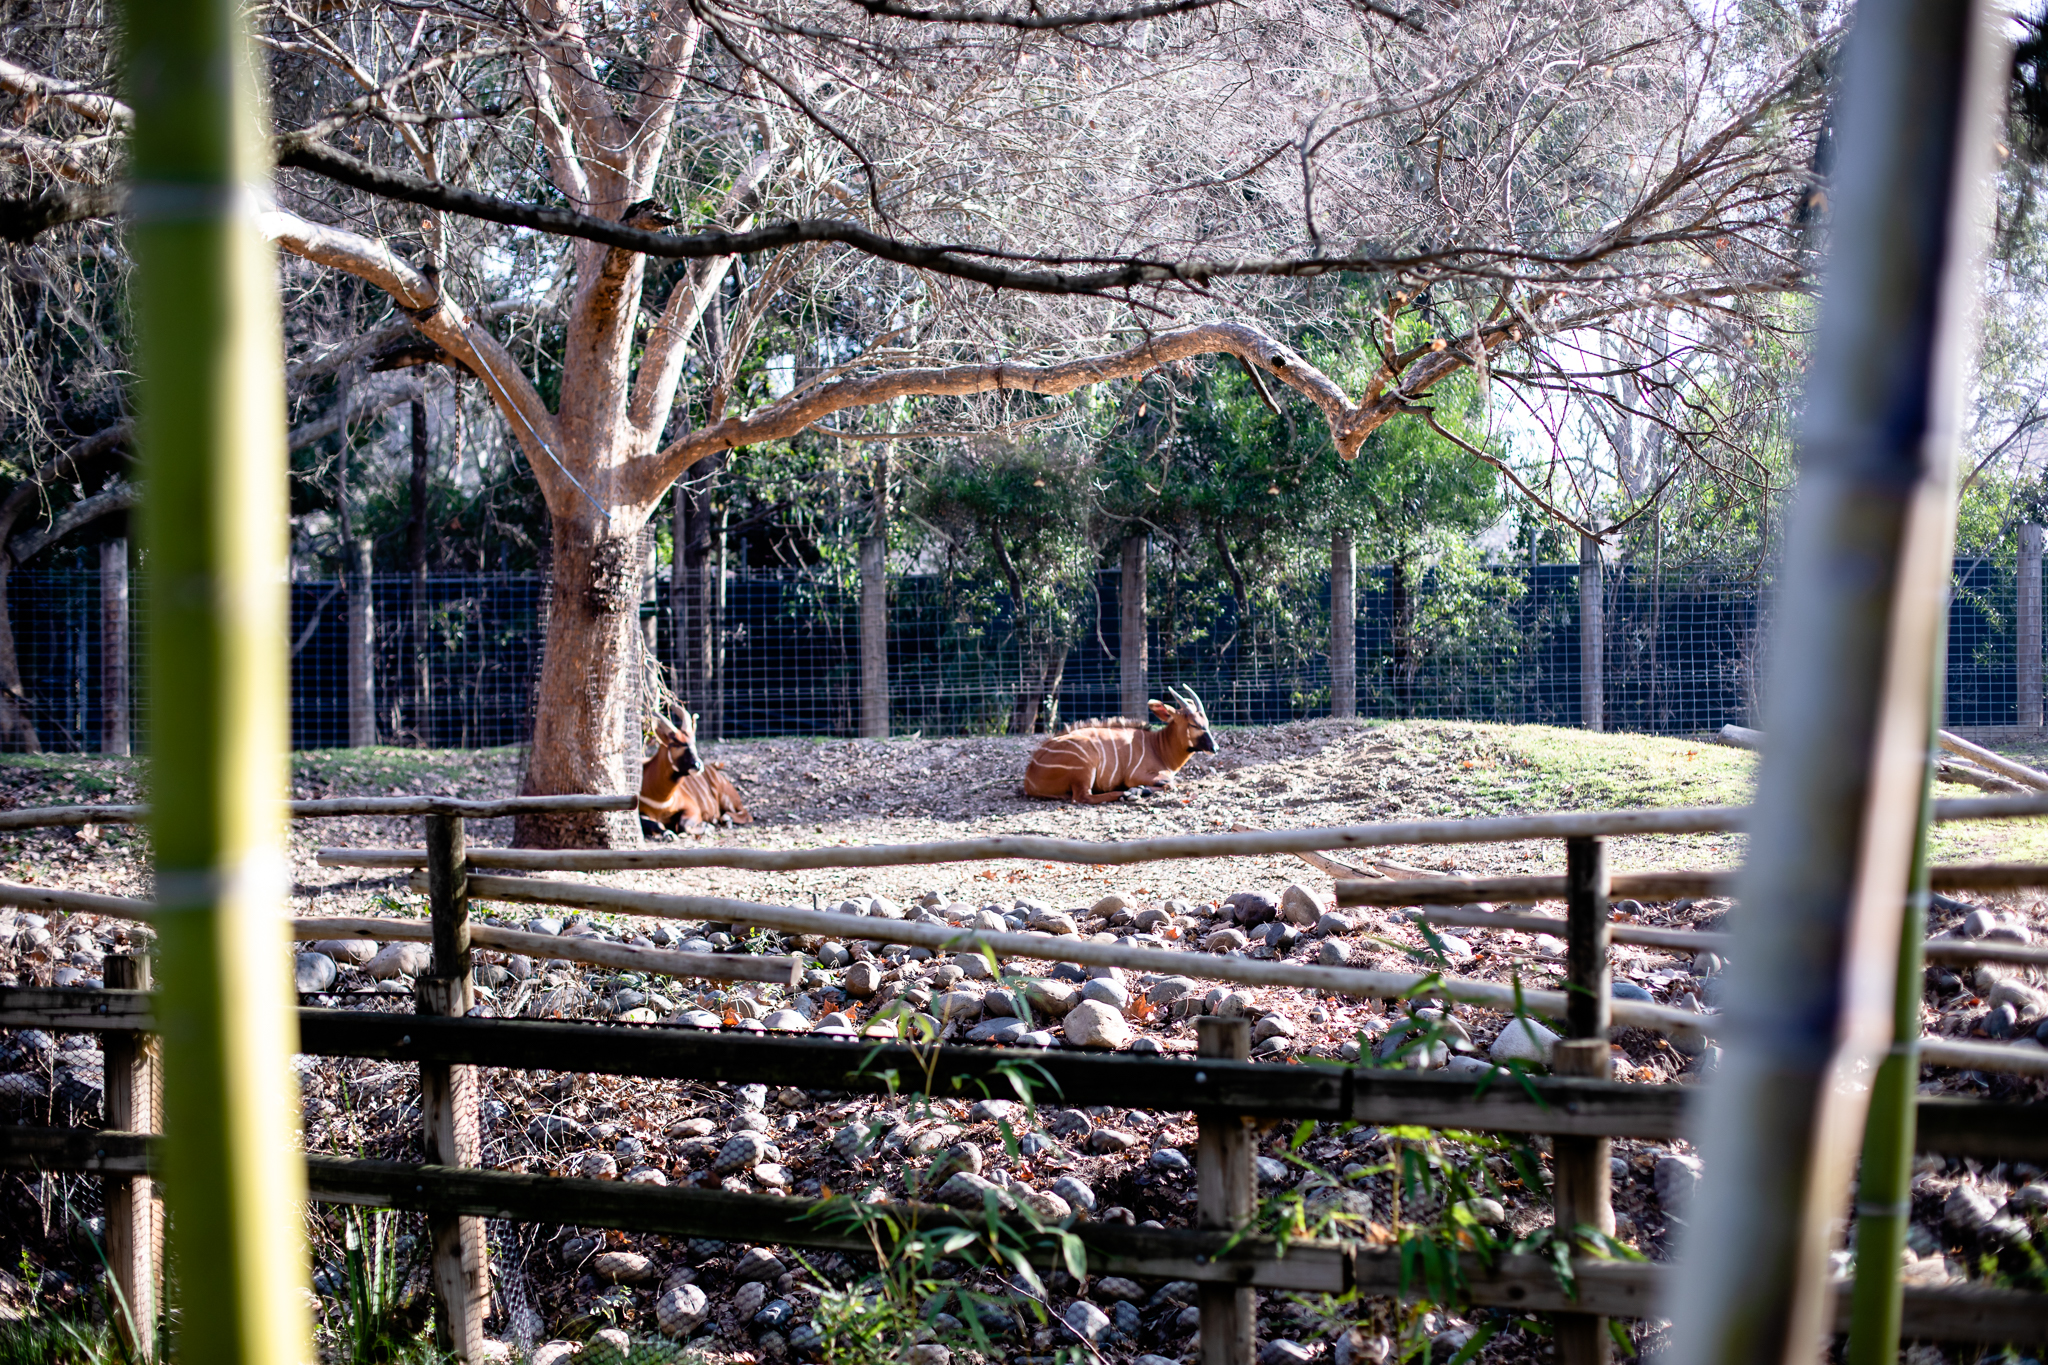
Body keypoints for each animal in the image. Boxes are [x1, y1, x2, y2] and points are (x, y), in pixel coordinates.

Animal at [1019, 687, 1212, 806]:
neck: (1159, 747)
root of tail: (1030, 776)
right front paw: (1137, 790)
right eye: (1193, 724)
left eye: (1207, 723)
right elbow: (1171, 783)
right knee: (1082, 797)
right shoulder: (1136, 776)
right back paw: (1125, 794)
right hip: (1085, 767)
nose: (1214, 748)